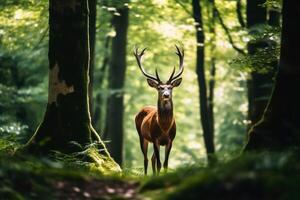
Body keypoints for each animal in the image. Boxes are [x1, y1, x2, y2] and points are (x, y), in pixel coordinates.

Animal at [133, 45, 183, 175]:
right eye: (160, 88)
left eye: (170, 87)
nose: (166, 95)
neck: (164, 127)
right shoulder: (155, 138)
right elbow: (160, 164)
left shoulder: (170, 140)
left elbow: (165, 164)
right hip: (142, 135)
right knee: (146, 159)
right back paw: (146, 175)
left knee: (152, 158)